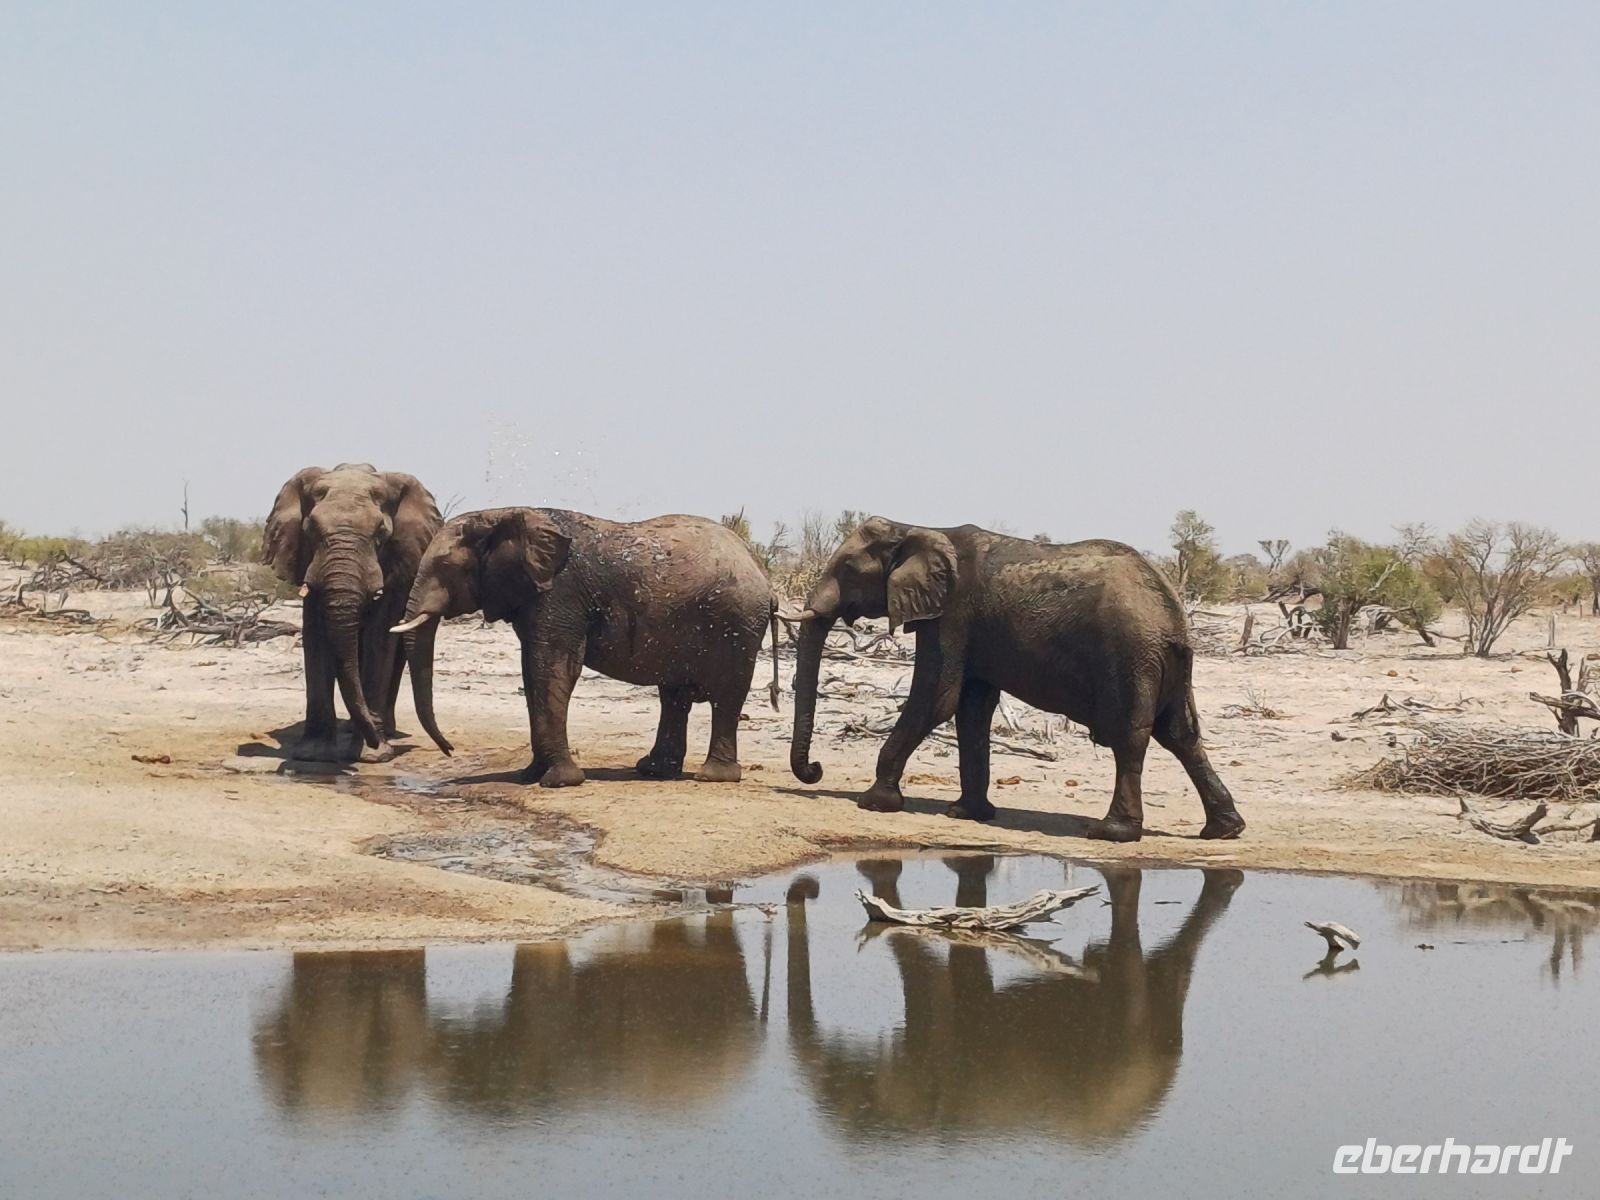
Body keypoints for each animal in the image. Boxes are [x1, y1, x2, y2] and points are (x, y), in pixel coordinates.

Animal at [263, 463, 442, 762]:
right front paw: (313, 753)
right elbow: (315, 637)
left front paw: (373, 755)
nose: (373, 744)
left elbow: (379, 639)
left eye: (380, 532)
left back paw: (384, 731)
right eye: (310, 529)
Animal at [393, 507, 777, 786]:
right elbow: (533, 671)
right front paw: (530, 776)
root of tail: (763, 576)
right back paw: (653, 770)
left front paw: (558, 782)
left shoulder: (559, 595)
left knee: (726, 696)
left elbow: (554, 668)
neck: (506, 514)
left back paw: (713, 777)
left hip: (737, 624)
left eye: (444, 566)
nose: (449, 750)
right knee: (675, 695)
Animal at [787, 517, 1244, 842]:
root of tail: (1173, 615)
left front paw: (874, 803)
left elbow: (937, 698)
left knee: (1131, 737)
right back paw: (1224, 830)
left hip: (1132, 656)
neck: (915, 526)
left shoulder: (952, 615)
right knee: (1182, 735)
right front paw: (967, 814)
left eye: (848, 568)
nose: (816, 768)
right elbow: (971, 709)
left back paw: (1112, 833)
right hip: (1165, 664)